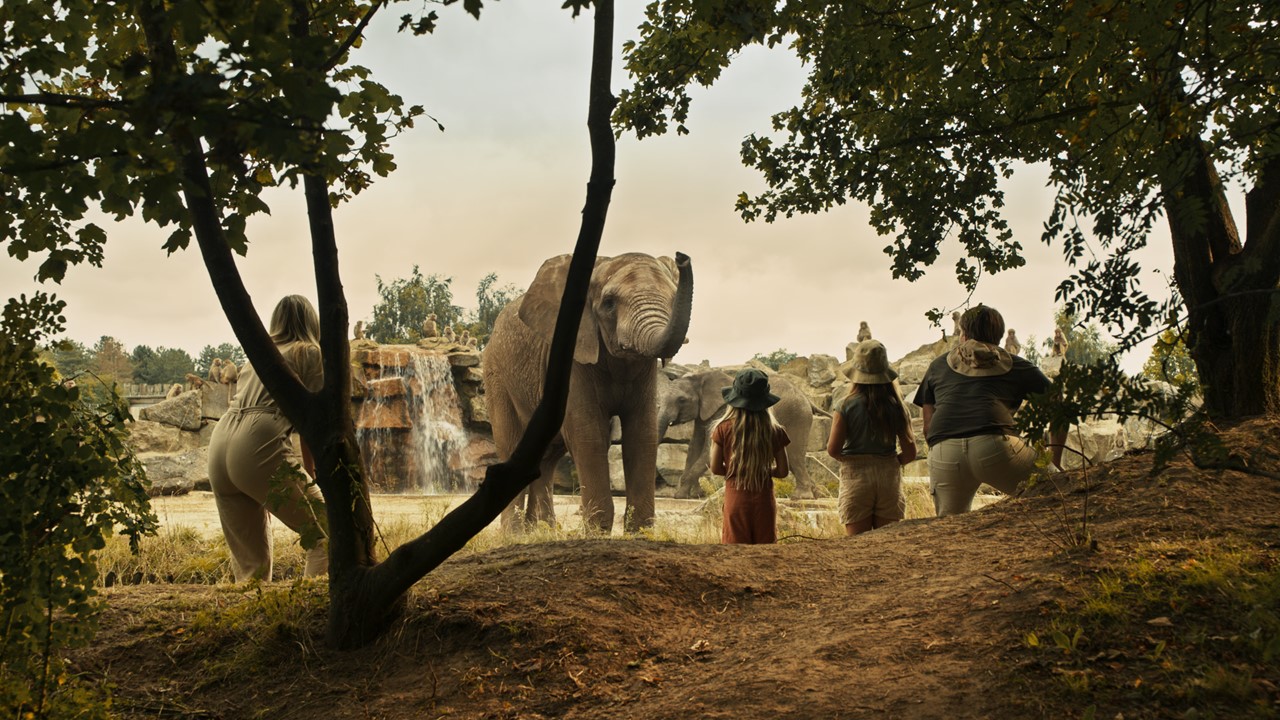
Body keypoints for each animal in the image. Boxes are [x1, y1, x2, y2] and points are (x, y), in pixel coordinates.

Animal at [483, 251, 696, 527]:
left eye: (672, 298)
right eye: (609, 303)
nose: (682, 257)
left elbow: (642, 433)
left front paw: (640, 531)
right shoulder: (573, 359)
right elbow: (588, 433)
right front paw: (597, 530)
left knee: (546, 459)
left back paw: (544, 531)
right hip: (497, 377)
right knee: (511, 446)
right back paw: (517, 533)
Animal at [655, 366, 824, 497]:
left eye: (681, 400)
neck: (702, 376)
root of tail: (807, 398)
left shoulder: (723, 408)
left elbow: (709, 450)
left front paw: (680, 495)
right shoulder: (702, 414)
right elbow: (694, 447)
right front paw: (694, 495)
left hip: (797, 417)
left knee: (793, 454)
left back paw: (801, 497)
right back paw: (816, 495)